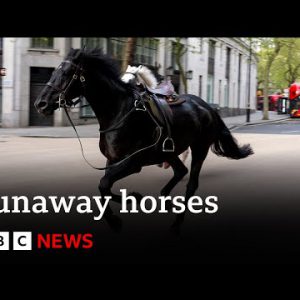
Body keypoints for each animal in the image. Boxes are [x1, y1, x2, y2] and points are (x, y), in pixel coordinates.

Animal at [34, 48, 253, 232]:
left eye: (66, 73)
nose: (40, 103)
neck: (119, 112)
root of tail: (208, 107)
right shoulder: (112, 160)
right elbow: (104, 187)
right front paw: (130, 202)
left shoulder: (133, 162)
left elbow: (104, 184)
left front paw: (123, 211)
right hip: (169, 151)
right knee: (180, 171)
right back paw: (166, 202)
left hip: (200, 148)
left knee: (191, 184)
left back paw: (177, 221)